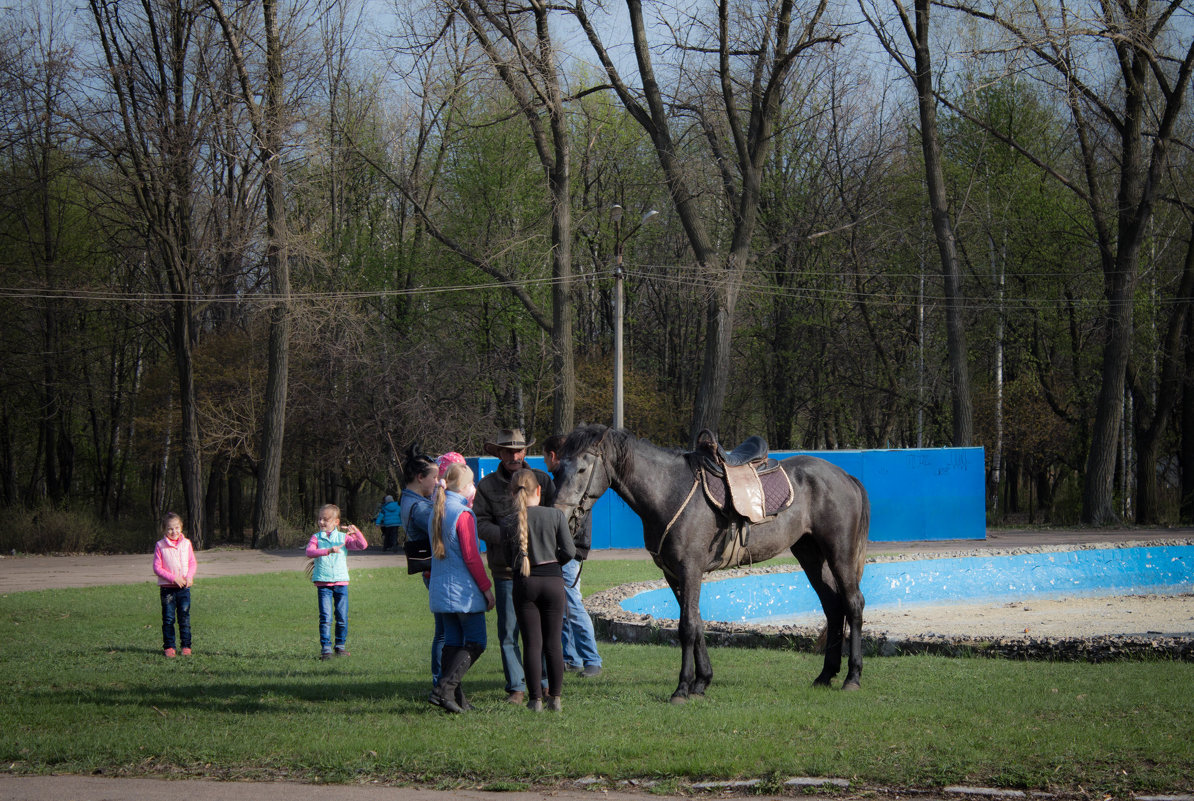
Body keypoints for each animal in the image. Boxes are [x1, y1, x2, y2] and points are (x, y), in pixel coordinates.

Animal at [554, 424, 874, 701]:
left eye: (582, 468)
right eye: (556, 471)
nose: (561, 516)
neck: (669, 491)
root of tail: (845, 476)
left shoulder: (690, 569)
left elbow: (686, 627)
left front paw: (682, 688)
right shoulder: (674, 574)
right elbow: (696, 623)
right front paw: (702, 681)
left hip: (839, 553)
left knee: (853, 604)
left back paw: (852, 677)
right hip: (810, 553)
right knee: (833, 606)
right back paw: (826, 674)